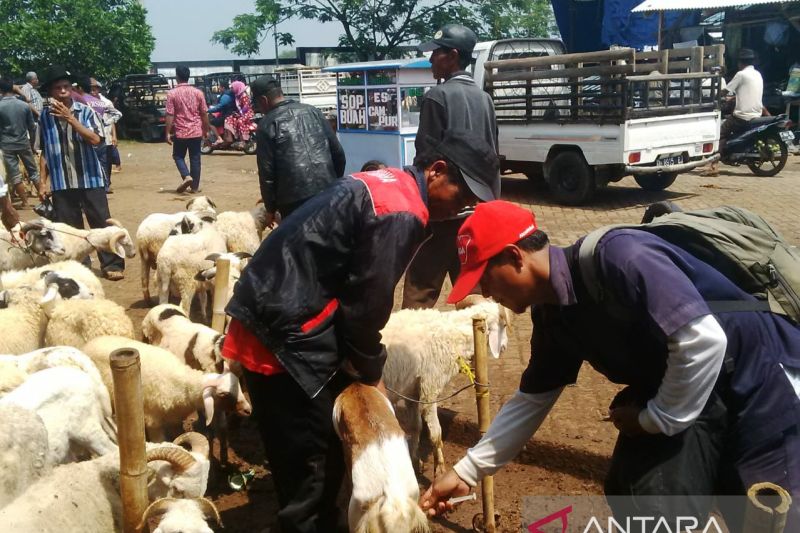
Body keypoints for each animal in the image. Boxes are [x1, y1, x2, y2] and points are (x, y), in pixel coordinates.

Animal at [81, 336, 250, 440]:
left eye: (239, 386)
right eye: (223, 394)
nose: (249, 410)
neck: (183, 385)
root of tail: (89, 343)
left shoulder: (176, 419)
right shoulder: (153, 421)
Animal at [378, 298, 510, 476]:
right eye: (503, 325)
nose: (504, 346)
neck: (452, 336)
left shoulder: (413, 391)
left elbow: (415, 427)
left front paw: (416, 462)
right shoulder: (430, 389)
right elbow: (436, 434)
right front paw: (439, 470)